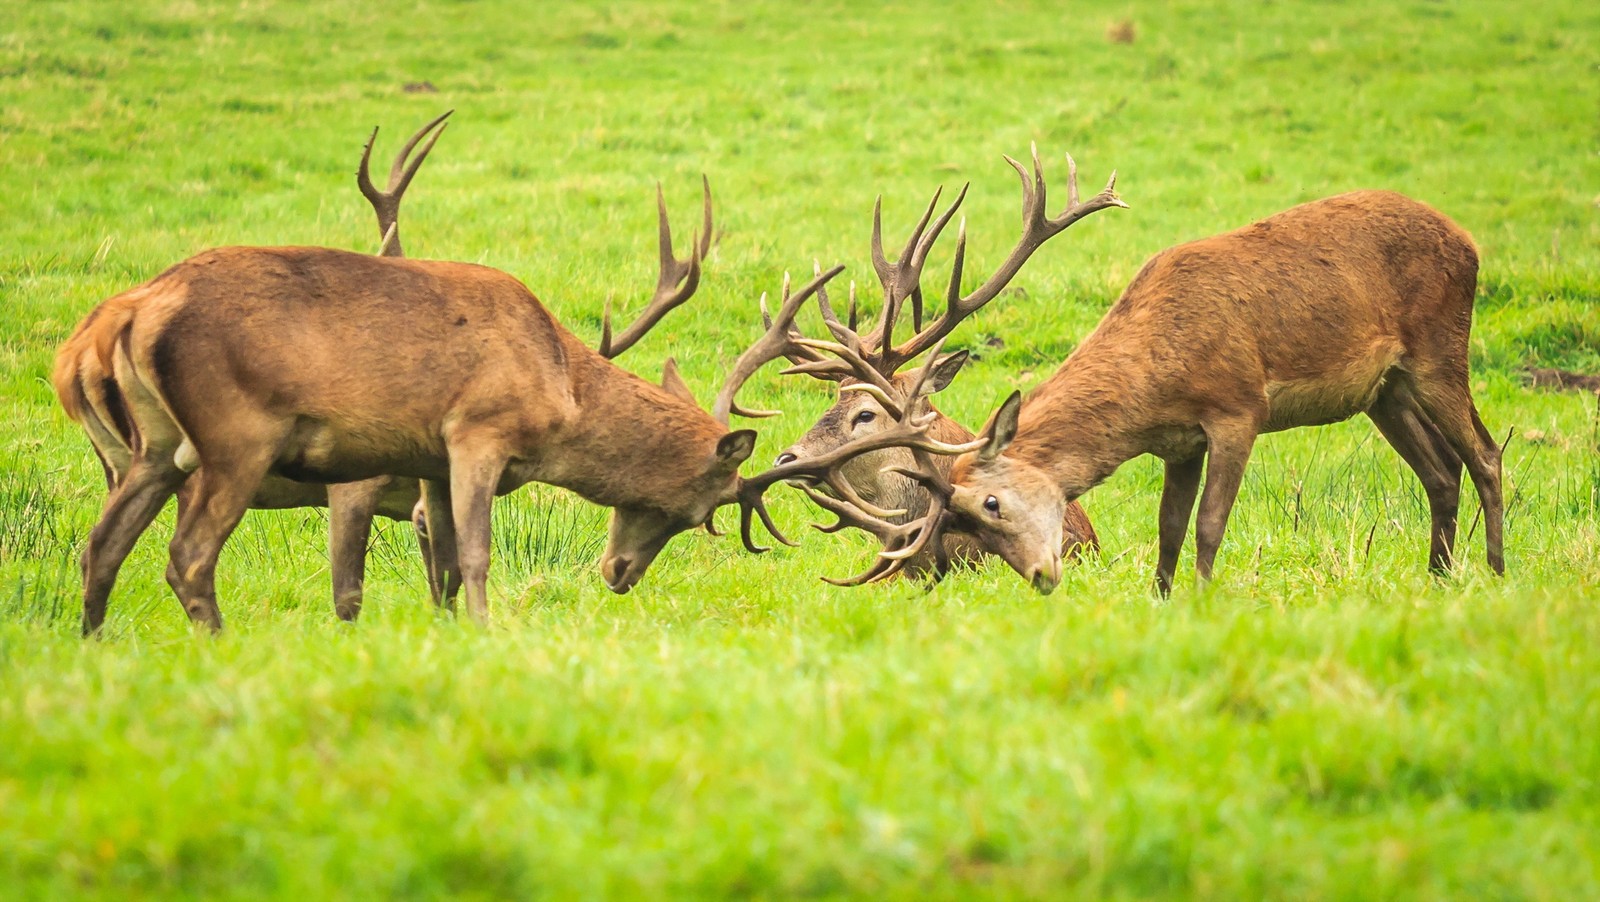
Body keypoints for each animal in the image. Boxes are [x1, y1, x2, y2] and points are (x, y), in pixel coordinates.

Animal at [825, 188, 1497, 591]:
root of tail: (1469, 241)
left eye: (988, 504)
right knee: (1441, 471)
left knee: (1486, 454)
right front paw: (1162, 601)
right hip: (1385, 390)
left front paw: (1203, 600)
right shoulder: (1179, 442)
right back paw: (1438, 578)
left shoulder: (1238, 408)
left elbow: (1209, 524)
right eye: (967, 523)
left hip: (1440, 348)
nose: (1040, 575)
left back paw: (1493, 572)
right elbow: (1168, 529)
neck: (1157, 380)